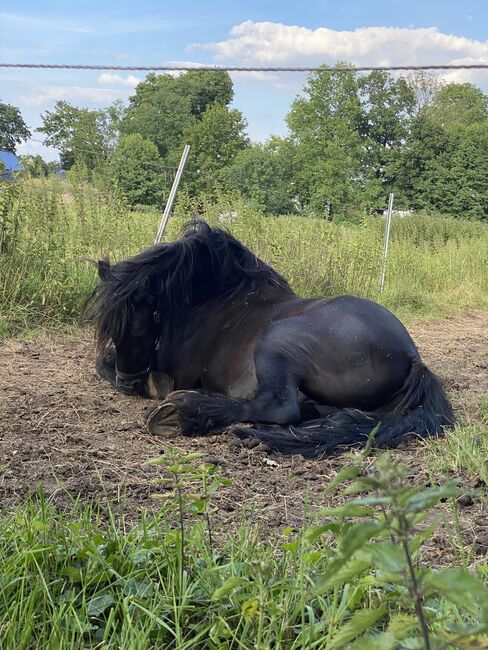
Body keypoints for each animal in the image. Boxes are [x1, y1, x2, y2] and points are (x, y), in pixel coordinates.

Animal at [86, 220, 456, 454]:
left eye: (141, 323)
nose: (128, 383)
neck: (217, 298)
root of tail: (411, 358)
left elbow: (107, 365)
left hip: (278, 341)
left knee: (280, 408)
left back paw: (182, 412)